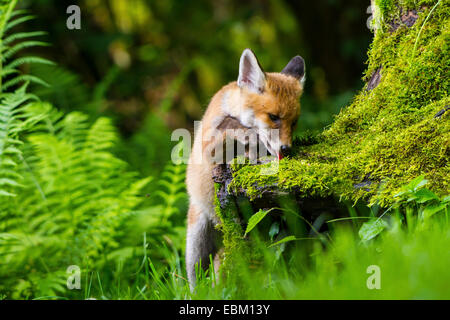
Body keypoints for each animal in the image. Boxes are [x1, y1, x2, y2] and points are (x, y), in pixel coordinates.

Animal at [185, 48, 304, 288]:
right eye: (273, 117)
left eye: (294, 122)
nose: (286, 149)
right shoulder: (207, 146)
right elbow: (231, 128)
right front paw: (245, 134)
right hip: (196, 244)